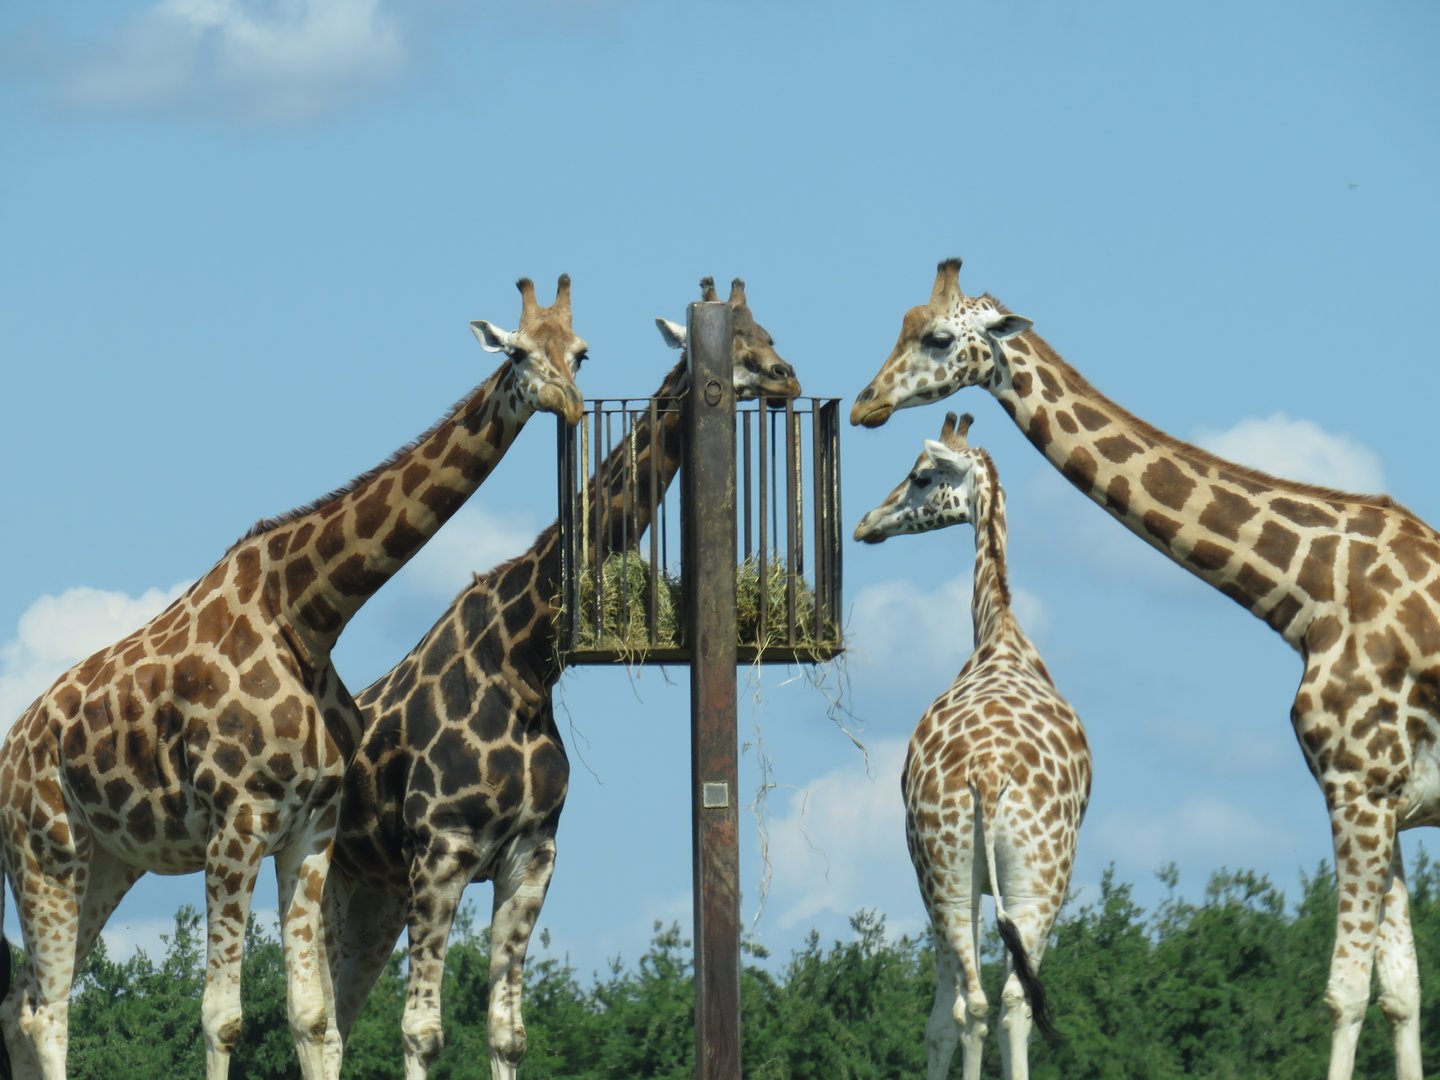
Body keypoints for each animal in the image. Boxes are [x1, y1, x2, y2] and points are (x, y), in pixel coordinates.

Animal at [0, 275, 587, 1080]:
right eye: (521, 352)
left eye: (581, 352)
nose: (572, 403)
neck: (308, 614)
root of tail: (7, 755)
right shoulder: (237, 822)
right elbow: (221, 1019)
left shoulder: (310, 828)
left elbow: (312, 1018)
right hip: (46, 852)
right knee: (47, 1011)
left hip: (108, 860)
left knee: (19, 1003)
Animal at [324, 277, 799, 1080]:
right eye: (731, 340)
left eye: (765, 329)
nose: (786, 376)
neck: (523, 663)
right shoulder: (441, 851)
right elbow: (421, 1032)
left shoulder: (531, 854)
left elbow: (506, 1032)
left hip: (368, 889)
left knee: (332, 1022)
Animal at [855, 411, 1090, 1080]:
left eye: (920, 475)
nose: (865, 524)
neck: (999, 634)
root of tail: (987, 772)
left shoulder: (942, 881)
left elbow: (939, 1021)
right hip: (1031, 881)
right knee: (1007, 1000)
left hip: (956, 876)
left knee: (980, 1002)